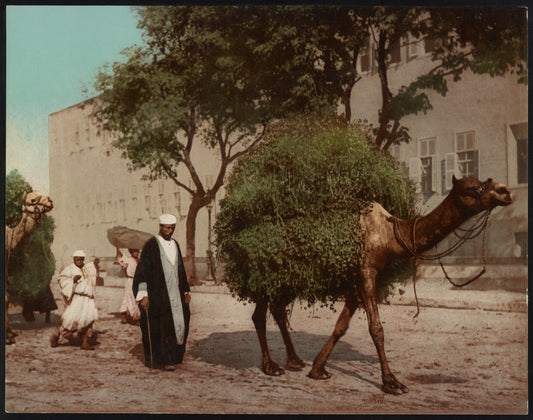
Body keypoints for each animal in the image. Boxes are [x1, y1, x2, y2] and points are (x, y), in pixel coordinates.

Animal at [251, 176, 512, 394]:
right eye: (472, 187)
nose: (505, 191)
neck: (390, 236)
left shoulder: (357, 278)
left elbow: (341, 326)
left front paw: (318, 369)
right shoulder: (366, 271)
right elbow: (376, 329)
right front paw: (392, 383)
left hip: (290, 277)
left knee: (277, 308)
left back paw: (294, 361)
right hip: (269, 271)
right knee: (260, 313)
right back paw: (270, 366)